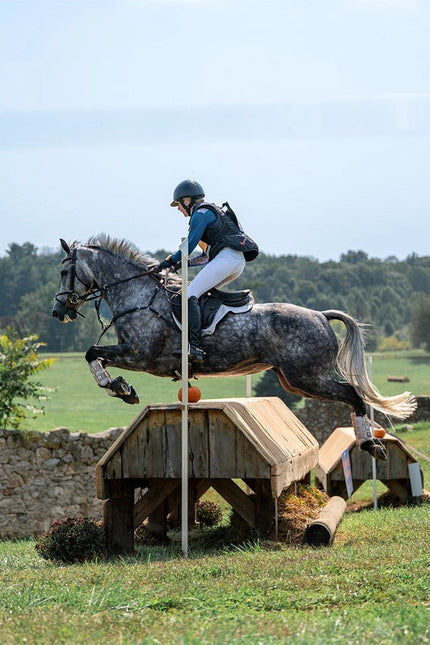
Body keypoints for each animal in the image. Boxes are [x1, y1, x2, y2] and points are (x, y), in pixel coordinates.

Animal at [52, 235, 414, 458]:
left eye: (64, 270)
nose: (58, 312)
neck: (138, 296)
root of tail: (320, 315)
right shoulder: (133, 354)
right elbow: (95, 355)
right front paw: (122, 387)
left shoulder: (141, 355)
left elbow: (91, 353)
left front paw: (119, 387)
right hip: (294, 381)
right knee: (351, 394)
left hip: (309, 377)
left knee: (353, 394)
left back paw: (370, 445)